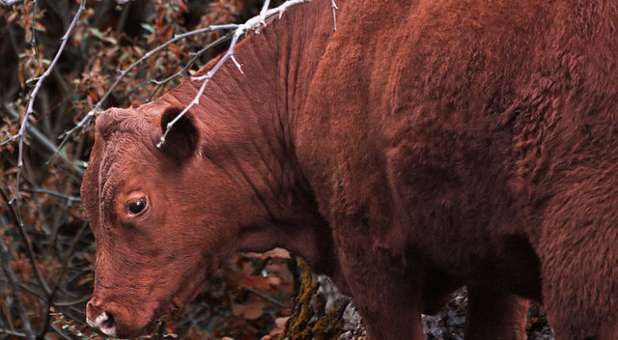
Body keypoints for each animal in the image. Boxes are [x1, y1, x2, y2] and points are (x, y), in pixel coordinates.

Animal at [82, 0, 616, 338]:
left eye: (136, 204)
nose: (100, 316)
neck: (315, 58)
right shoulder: (491, 265)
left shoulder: (373, 255)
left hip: (581, 271)